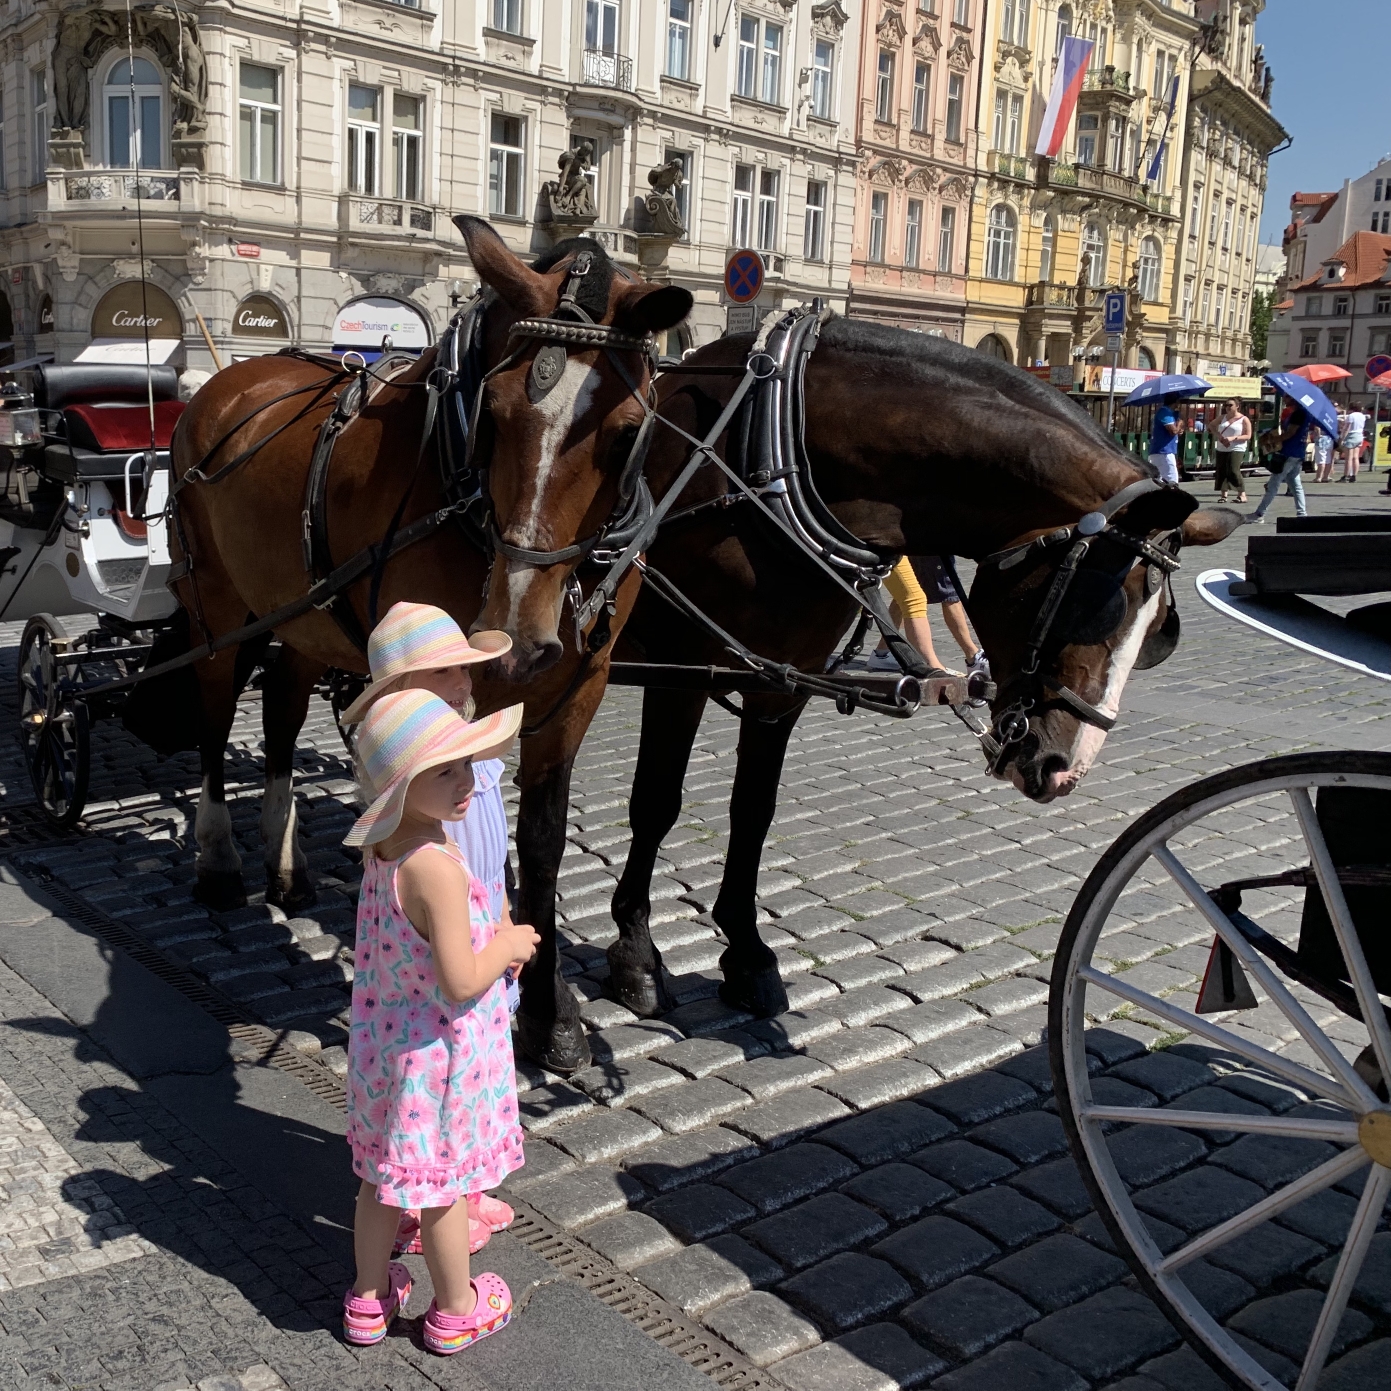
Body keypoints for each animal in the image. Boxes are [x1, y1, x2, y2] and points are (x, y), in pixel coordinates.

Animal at [171, 216, 692, 1068]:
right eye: (496, 416)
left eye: (623, 434)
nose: (517, 634)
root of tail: (224, 381)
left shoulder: (578, 685)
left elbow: (541, 841)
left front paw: (548, 1012)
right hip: (215, 605)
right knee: (215, 716)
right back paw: (218, 859)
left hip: (305, 614)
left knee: (281, 712)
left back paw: (284, 863)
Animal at [600, 319, 1240, 1029]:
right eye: (1099, 603)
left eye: (1159, 635)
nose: (1064, 770)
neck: (761, 455)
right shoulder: (681, 673)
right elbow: (656, 802)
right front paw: (635, 952)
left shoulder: (779, 686)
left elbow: (754, 811)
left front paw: (746, 953)